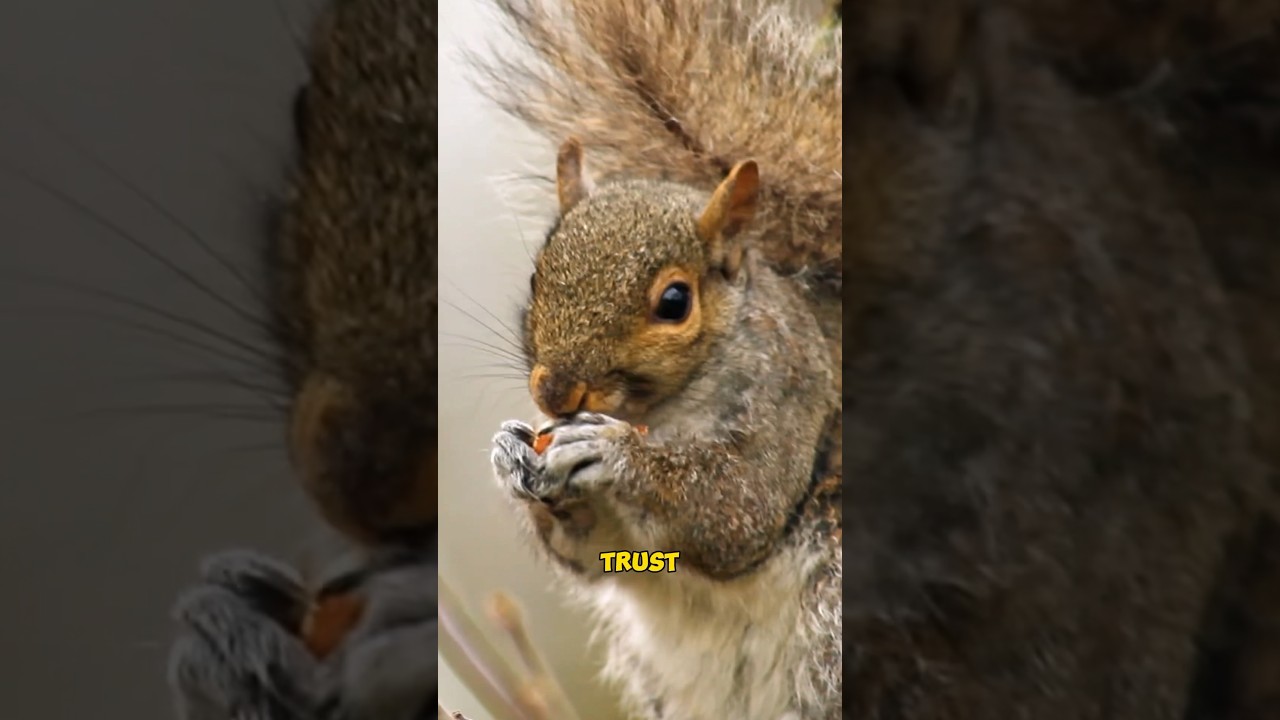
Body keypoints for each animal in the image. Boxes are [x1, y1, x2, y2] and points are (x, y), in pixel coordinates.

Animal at [479, 0, 842, 718]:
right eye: (537, 277)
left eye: (674, 301)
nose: (555, 393)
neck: (663, 411)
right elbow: (588, 550)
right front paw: (511, 453)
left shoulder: (792, 397)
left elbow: (737, 505)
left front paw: (619, 456)